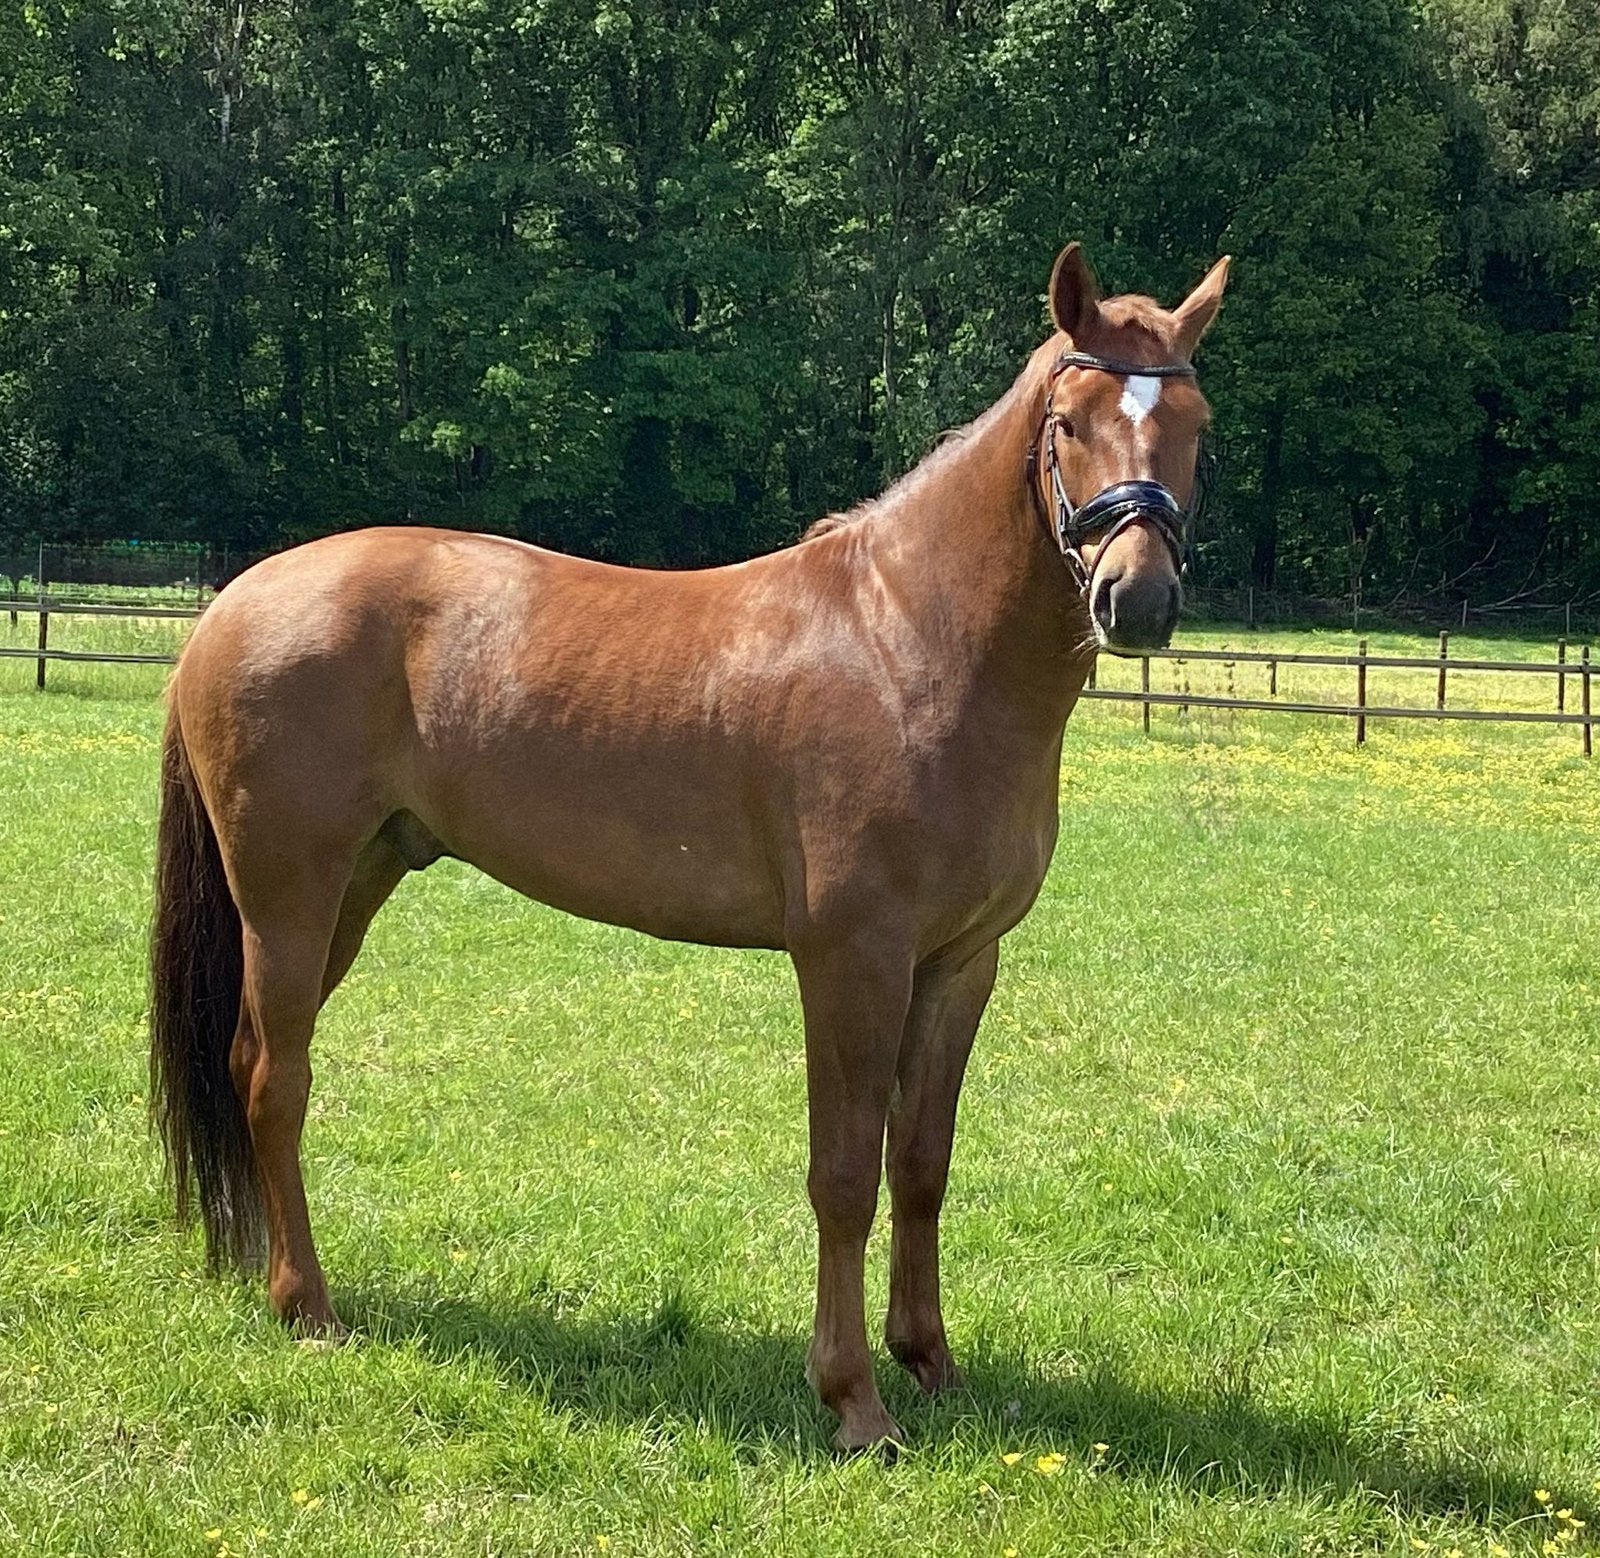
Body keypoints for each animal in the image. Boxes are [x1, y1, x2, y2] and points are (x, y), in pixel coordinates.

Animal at [149, 243, 1229, 1450]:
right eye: (1072, 421)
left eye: (1196, 423)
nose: (1137, 598)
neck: (908, 639)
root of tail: (232, 603)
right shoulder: (849, 960)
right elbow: (844, 1174)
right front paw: (853, 1401)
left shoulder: (960, 965)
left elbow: (922, 1167)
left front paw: (931, 1365)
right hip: (289, 897)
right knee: (275, 1076)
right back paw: (309, 1306)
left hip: (354, 886)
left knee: (246, 1062)